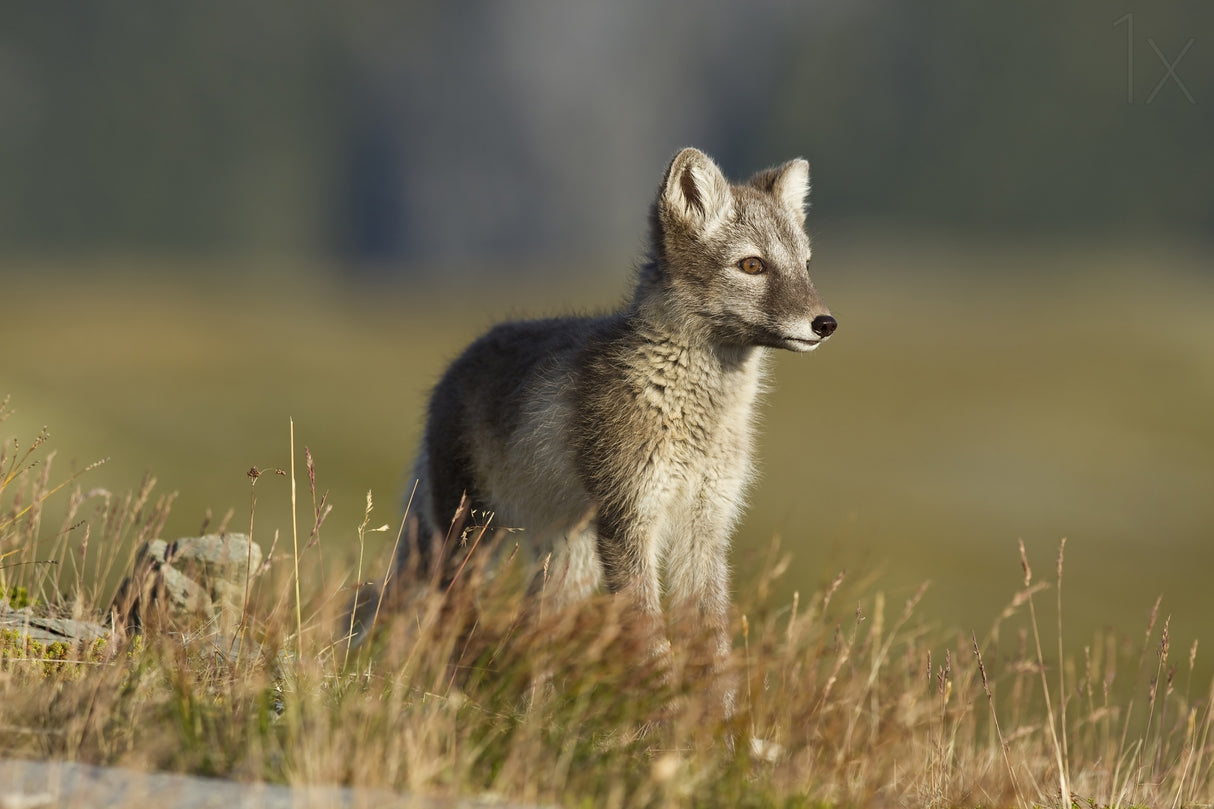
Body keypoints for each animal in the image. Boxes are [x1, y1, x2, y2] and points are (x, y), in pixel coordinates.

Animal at [386, 147, 835, 704]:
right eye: (752, 265)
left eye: (807, 265)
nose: (825, 324)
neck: (691, 412)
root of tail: (456, 365)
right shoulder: (629, 521)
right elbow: (652, 643)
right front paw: (667, 717)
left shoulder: (706, 527)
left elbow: (714, 652)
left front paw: (721, 726)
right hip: (470, 540)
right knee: (449, 621)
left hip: (566, 561)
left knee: (531, 633)